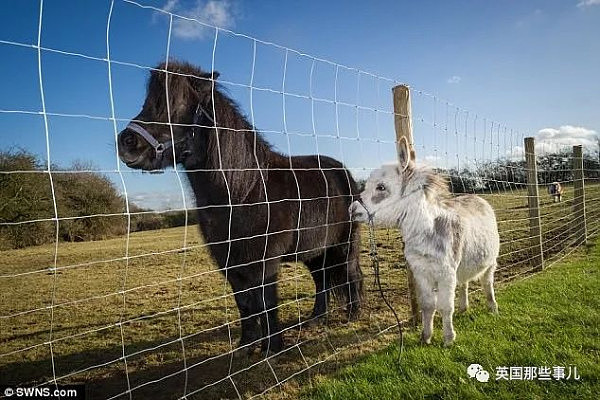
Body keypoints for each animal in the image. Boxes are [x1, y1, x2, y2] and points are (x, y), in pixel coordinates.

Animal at [116, 60, 360, 354]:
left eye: (176, 104)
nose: (127, 142)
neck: (244, 191)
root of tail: (342, 171)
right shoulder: (230, 263)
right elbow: (244, 303)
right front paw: (247, 345)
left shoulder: (264, 263)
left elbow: (266, 303)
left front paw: (272, 347)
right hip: (315, 250)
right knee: (322, 280)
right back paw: (315, 318)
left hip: (344, 244)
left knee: (351, 273)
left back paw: (354, 314)